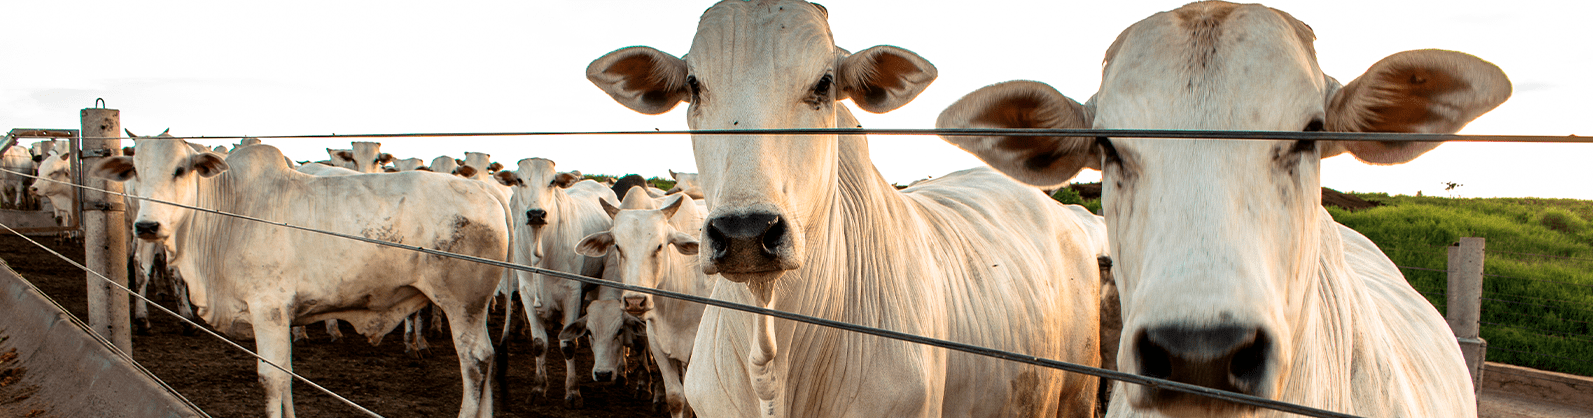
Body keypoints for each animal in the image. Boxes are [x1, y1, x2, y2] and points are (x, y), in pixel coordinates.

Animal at [88, 139, 509, 418]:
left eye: (179, 170)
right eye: (135, 172)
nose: (146, 225)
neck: (228, 211)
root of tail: (484, 189)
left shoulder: (268, 309)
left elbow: (271, 378)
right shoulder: (281, 316)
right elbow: (286, 375)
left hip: (462, 303)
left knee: (475, 362)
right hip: (474, 308)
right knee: (487, 360)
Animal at [490, 158, 621, 406]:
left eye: (552, 182)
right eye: (519, 180)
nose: (536, 214)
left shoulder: (572, 293)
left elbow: (568, 345)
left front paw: (572, 391)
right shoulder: (526, 294)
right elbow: (539, 344)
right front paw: (539, 387)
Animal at [576, 187, 713, 414]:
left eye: (659, 246)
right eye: (617, 246)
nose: (635, 301)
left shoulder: (694, 352)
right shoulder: (658, 345)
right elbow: (677, 399)